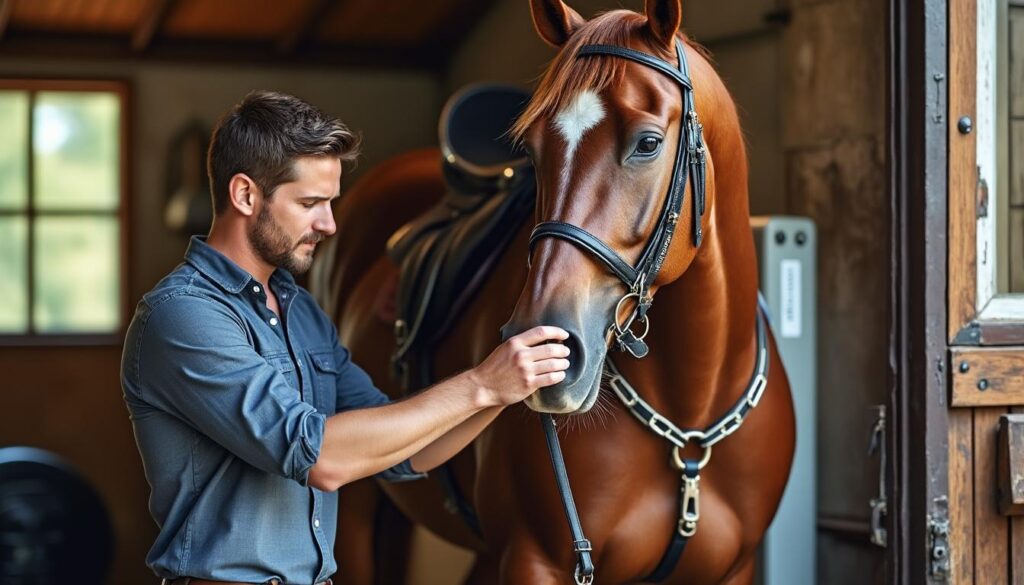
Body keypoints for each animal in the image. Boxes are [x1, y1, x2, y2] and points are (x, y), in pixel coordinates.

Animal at [314, 1, 796, 583]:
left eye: (648, 143)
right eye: (531, 149)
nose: (547, 342)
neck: (690, 424)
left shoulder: (733, 569)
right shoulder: (534, 559)